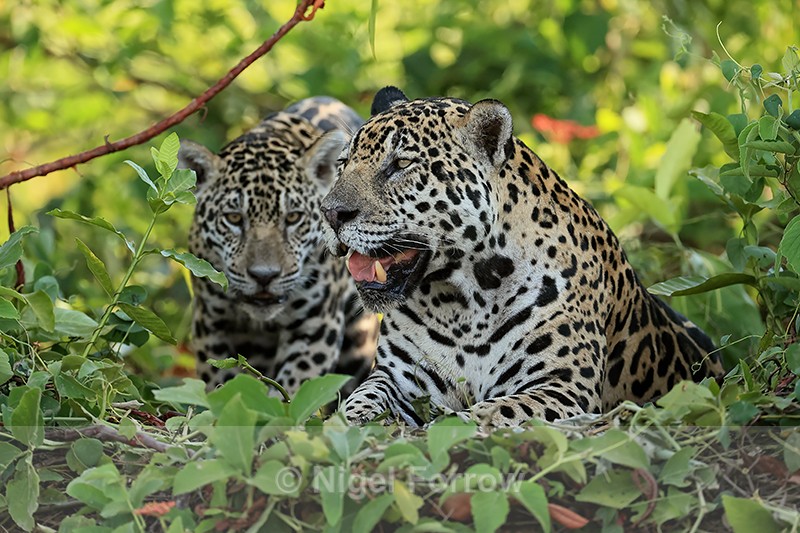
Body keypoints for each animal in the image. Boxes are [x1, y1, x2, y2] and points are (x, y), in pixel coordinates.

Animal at [178, 96, 379, 395]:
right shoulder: (211, 326)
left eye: (293, 218)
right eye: (234, 218)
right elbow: (222, 382)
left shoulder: (316, 327)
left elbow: (293, 387)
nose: (264, 276)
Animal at [320, 87, 723, 427]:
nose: (330, 213)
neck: (460, 300)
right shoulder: (398, 376)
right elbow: (363, 399)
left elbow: (492, 413)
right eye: (343, 163)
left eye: (401, 165)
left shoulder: (562, 386)